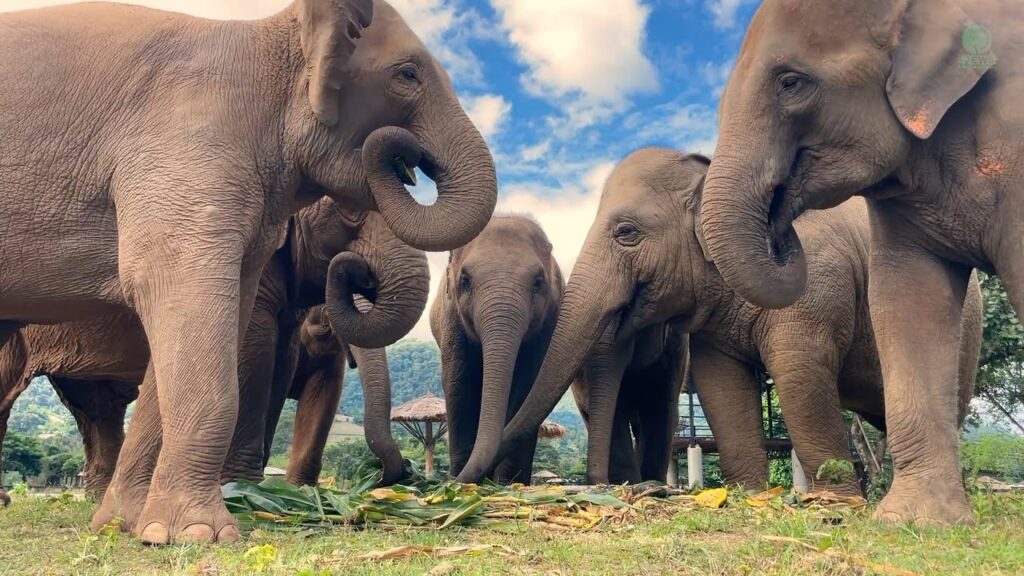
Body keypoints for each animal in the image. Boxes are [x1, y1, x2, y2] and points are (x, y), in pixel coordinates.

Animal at [0, 0, 495, 542]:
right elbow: (211, 323)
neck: (268, 33)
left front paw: (133, 527)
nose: (406, 160)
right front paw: (204, 530)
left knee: (96, 409)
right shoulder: (186, 152)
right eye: (407, 75)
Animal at [431, 216, 564, 484]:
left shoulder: (548, 322)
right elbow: (458, 383)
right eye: (465, 281)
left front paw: (509, 483)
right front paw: (459, 481)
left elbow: (529, 387)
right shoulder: (452, 318)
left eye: (539, 283)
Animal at [570, 322, 688, 485]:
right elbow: (613, 407)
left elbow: (659, 404)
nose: (602, 482)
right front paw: (626, 481)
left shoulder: (676, 348)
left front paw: (651, 481)